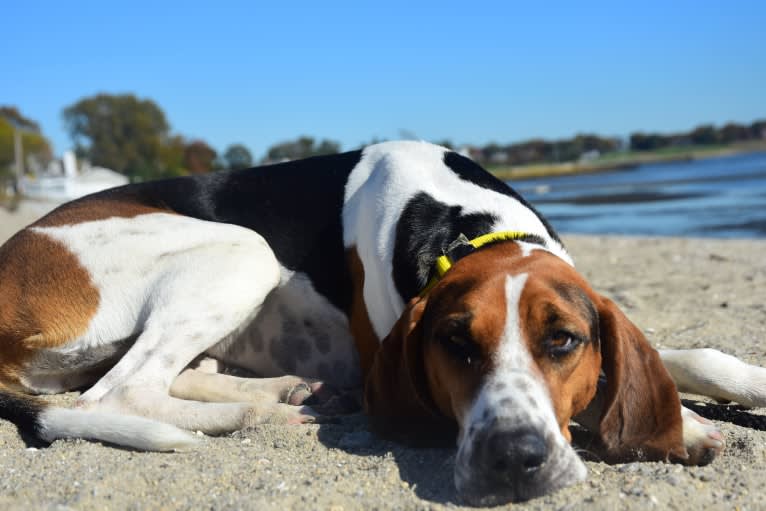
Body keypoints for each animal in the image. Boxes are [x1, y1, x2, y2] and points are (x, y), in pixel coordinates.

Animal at [1, 142, 766, 506]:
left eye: (563, 341)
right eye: (454, 344)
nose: (512, 459)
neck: (466, 226)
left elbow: (694, 355)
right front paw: (684, 425)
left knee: (172, 376)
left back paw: (279, 393)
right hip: (244, 248)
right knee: (115, 396)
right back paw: (259, 415)